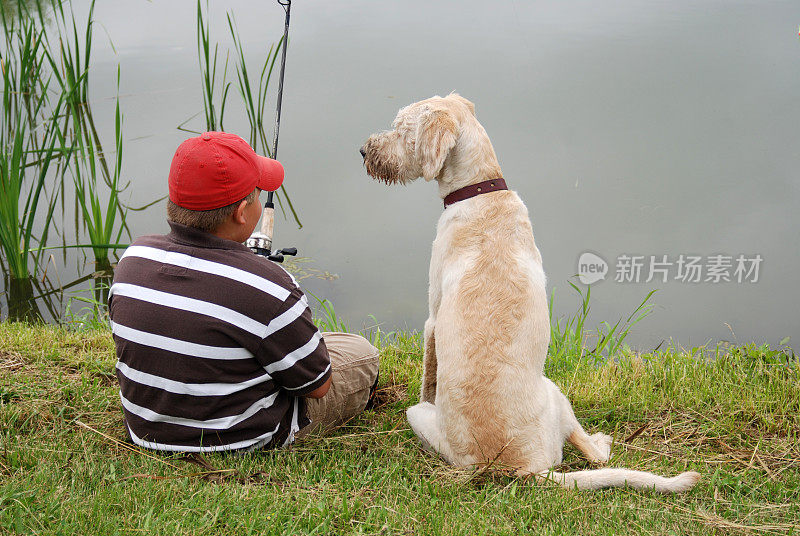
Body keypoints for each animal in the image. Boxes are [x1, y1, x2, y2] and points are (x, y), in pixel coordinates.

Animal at [362, 94, 700, 492]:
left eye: (402, 130)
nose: (364, 150)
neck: (481, 193)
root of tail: (521, 467)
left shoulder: (432, 319)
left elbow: (429, 377)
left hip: (546, 391)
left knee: (595, 454)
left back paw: (601, 441)